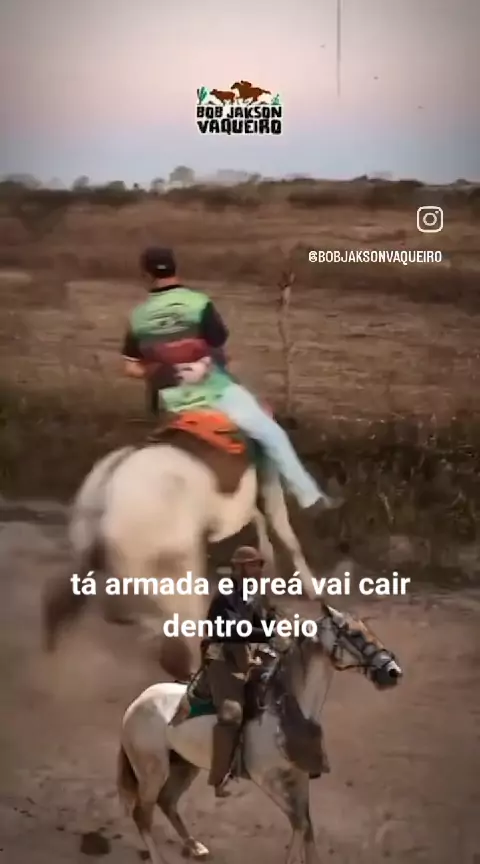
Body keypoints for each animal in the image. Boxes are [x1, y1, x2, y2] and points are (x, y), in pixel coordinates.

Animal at [42, 408, 320, 674]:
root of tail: (108, 490)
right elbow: (286, 534)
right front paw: (312, 590)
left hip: (99, 554)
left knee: (79, 607)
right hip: (163, 563)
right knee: (144, 613)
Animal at [117, 601, 403, 863]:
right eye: (354, 634)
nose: (393, 672)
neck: (283, 711)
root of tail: (135, 706)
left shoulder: (298, 776)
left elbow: (306, 825)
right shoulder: (268, 780)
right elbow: (299, 823)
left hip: (184, 765)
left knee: (167, 802)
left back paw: (195, 846)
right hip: (152, 771)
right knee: (142, 814)